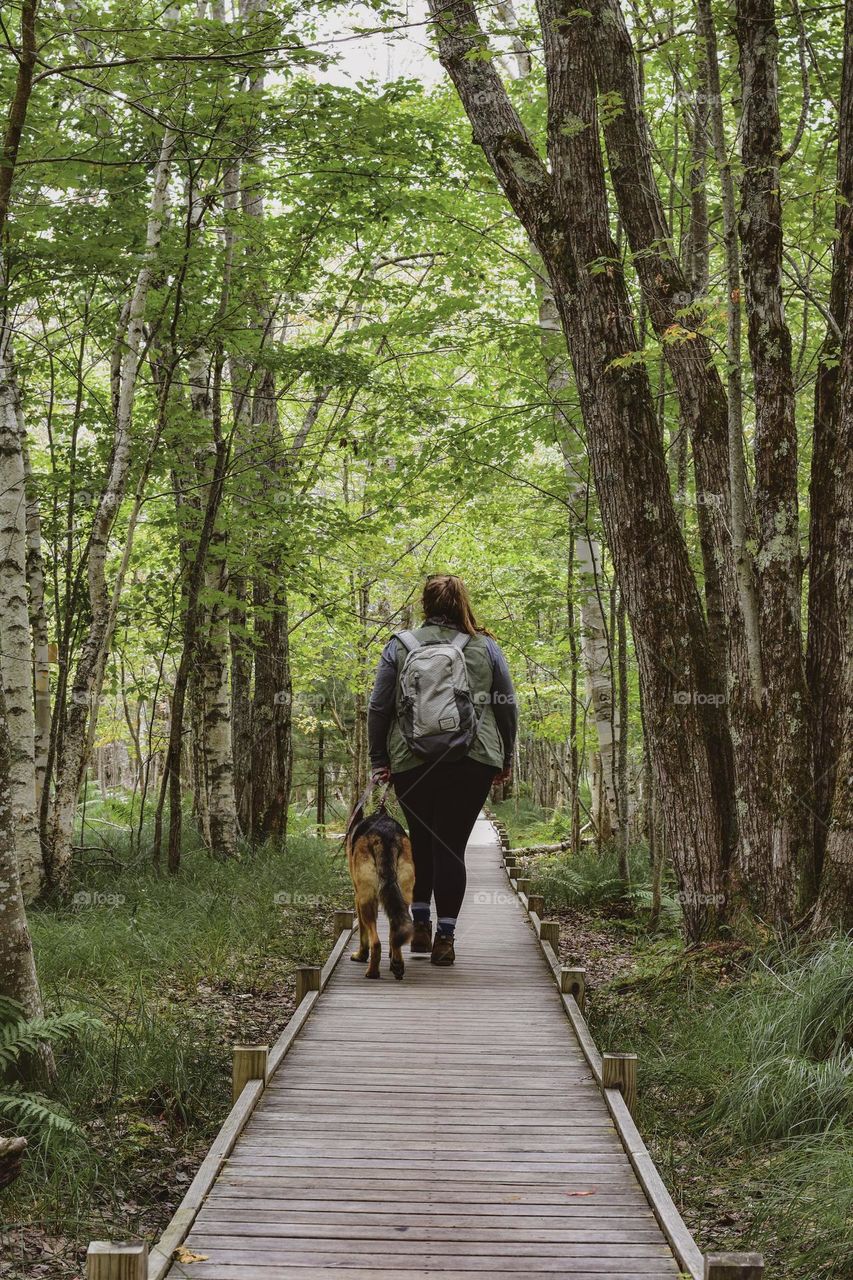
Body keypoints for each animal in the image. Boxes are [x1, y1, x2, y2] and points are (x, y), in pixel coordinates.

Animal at [343, 798, 412, 977]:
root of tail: (385, 835)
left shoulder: (358, 899)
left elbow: (363, 933)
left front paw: (361, 955)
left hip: (366, 900)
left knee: (376, 942)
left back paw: (372, 971)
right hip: (404, 895)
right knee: (395, 930)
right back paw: (397, 962)